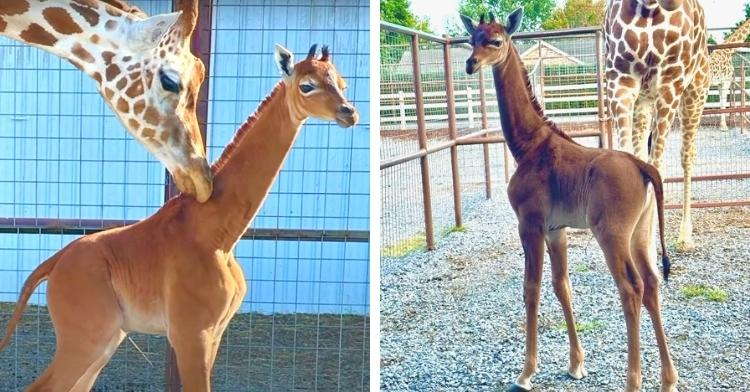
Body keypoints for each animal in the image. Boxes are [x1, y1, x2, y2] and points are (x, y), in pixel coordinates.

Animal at [0, 44, 360, 390]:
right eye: (307, 85)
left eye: (342, 83)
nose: (349, 113)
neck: (218, 233)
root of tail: (54, 264)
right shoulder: (191, 333)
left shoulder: (213, 334)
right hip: (87, 337)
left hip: (107, 339)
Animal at [464, 8, 680, 392]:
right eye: (471, 38)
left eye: (496, 41)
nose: (471, 64)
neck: (527, 146)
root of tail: (643, 166)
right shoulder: (556, 229)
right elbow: (561, 285)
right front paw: (576, 364)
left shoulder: (530, 224)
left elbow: (531, 288)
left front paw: (526, 373)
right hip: (641, 233)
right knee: (653, 284)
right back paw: (669, 379)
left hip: (612, 234)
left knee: (631, 288)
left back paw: (634, 381)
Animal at [604, 0, 712, 250]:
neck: (649, 8)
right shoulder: (620, 79)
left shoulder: (670, 82)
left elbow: (657, 168)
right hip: (644, 100)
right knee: (642, 155)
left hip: (695, 92)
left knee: (687, 155)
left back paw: (685, 235)